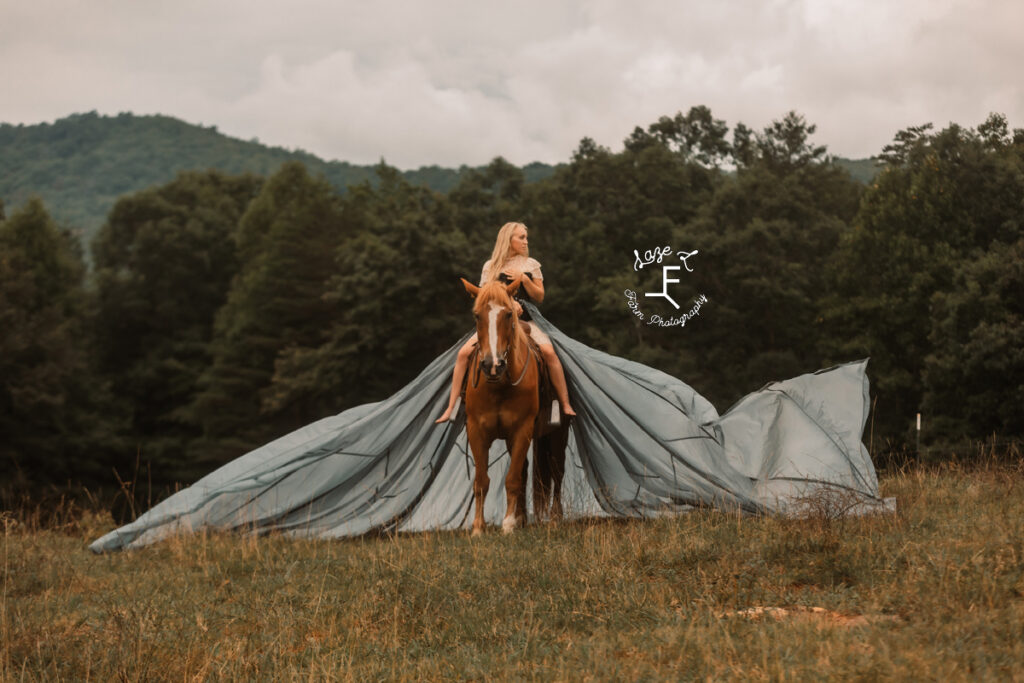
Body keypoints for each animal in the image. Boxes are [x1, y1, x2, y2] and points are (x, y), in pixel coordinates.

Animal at [462, 278, 569, 532]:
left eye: (509, 314)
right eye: (477, 315)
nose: (492, 365)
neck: (499, 386)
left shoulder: (522, 429)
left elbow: (512, 478)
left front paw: (508, 524)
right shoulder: (476, 431)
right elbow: (482, 480)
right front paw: (478, 527)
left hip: (558, 432)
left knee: (557, 470)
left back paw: (554, 518)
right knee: (527, 469)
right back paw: (521, 517)